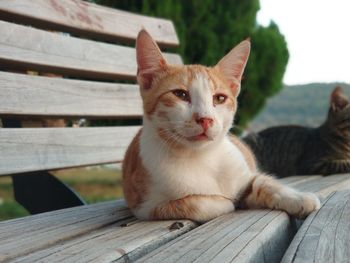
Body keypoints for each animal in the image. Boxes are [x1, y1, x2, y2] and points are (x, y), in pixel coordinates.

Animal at [121, 29, 322, 223]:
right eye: (180, 94)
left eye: (219, 98)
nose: (205, 119)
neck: (201, 157)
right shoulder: (145, 206)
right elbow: (197, 203)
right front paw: (224, 202)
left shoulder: (244, 175)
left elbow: (263, 182)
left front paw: (299, 198)